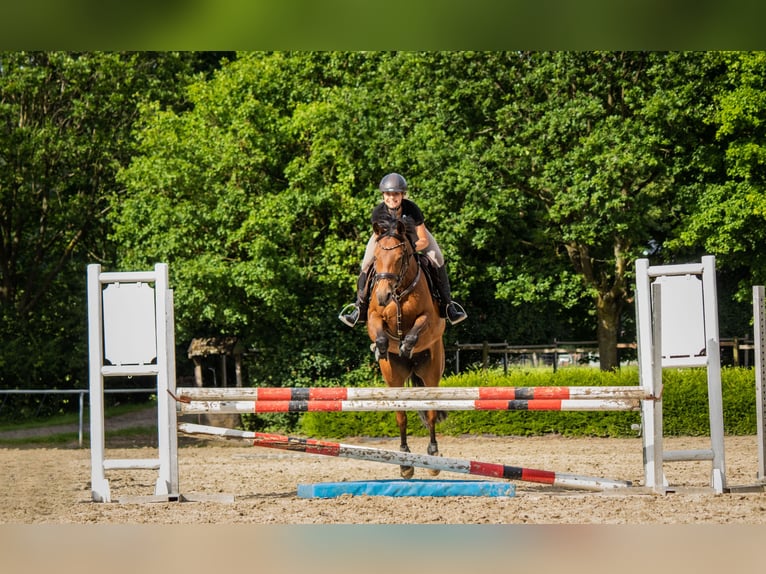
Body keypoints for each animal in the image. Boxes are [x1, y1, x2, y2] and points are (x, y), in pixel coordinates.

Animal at [366, 214, 447, 479]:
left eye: (400, 257)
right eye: (376, 258)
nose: (383, 296)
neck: (400, 291)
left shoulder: (429, 320)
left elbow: (415, 332)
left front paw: (406, 348)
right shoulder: (373, 317)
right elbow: (380, 333)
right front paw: (382, 348)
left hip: (431, 373)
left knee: (430, 412)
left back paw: (433, 455)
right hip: (394, 380)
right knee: (401, 416)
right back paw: (404, 462)